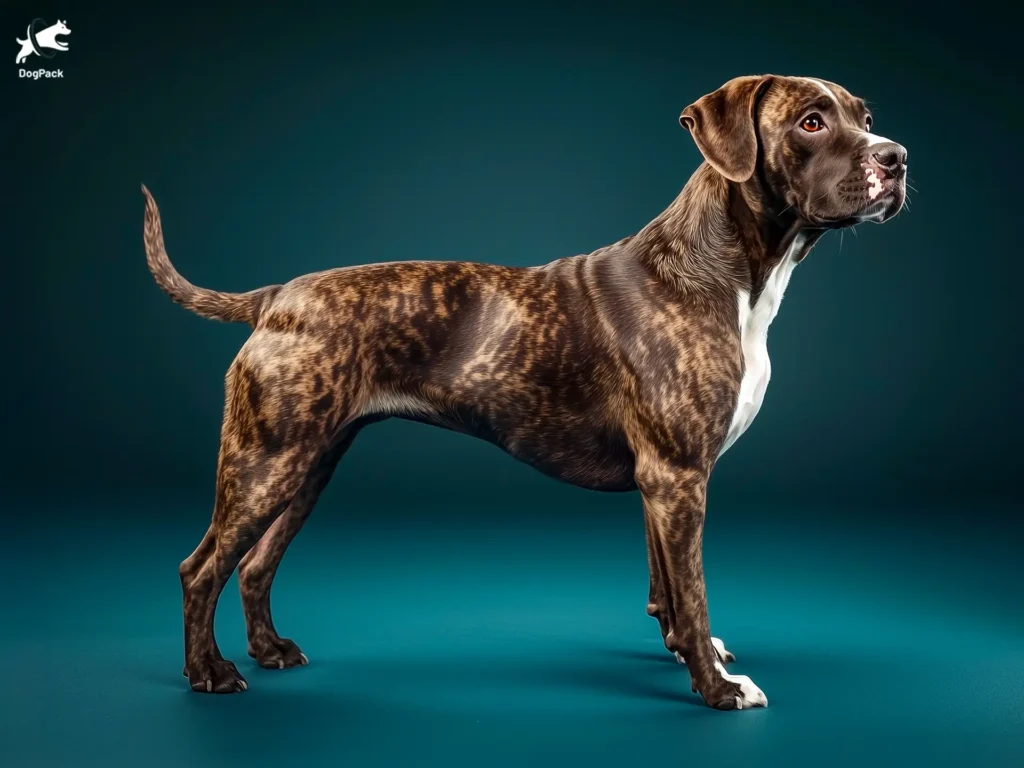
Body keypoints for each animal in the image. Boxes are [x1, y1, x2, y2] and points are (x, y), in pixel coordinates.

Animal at [142, 75, 905, 712]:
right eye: (811, 121)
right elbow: (693, 594)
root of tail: (275, 297)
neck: (726, 270)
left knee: (255, 565)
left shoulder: (662, 487)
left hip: (308, 467)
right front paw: (716, 689)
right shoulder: (680, 477)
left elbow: (667, 590)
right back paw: (209, 673)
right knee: (201, 568)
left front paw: (689, 655)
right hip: (266, 465)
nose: (895, 156)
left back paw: (269, 650)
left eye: (866, 117)